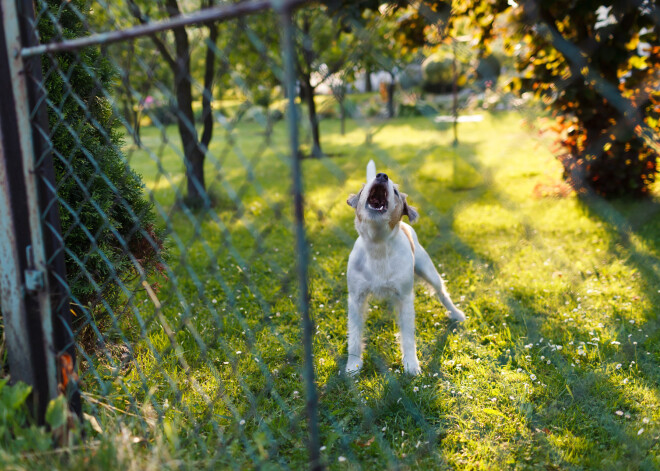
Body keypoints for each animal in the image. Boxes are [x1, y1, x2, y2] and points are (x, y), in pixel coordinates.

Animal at [346, 159, 464, 376]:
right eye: (364, 188)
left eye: (395, 191)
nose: (382, 175)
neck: (378, 245)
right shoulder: (356, 299)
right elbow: (355, 337)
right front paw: (353, 366)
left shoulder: (405, 298)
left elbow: (408, 336)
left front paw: (411, 365)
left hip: (429, 271)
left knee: (442, 292)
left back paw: (456, 314)